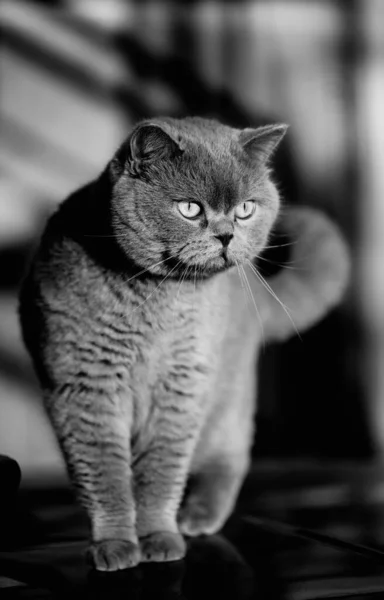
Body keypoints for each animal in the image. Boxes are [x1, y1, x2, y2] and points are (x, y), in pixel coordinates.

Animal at [18, 117, 350, 572]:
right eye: (190, 209)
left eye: (245, 209)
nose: (227, 236)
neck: (155, 302)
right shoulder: (86, 386)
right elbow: (104, 473)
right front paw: (115, 545)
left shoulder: (183, 383)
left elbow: (162, 470)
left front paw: (159, 538)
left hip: (228, 396)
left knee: (231, 456)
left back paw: (197, 517)